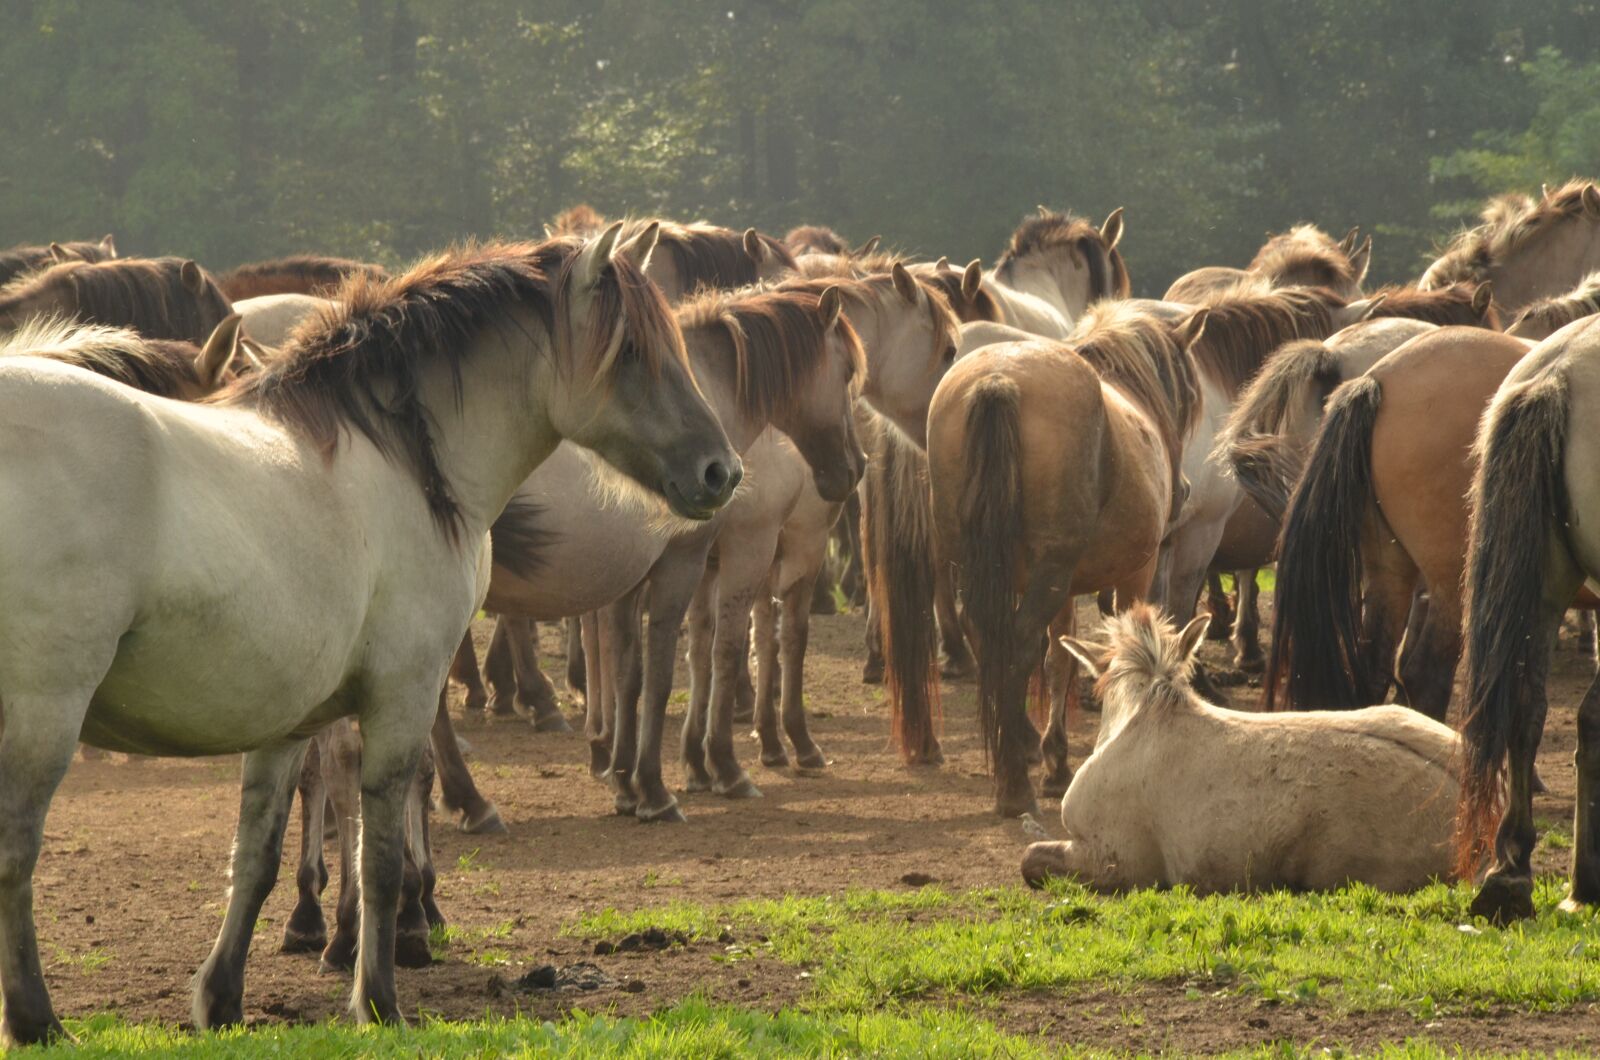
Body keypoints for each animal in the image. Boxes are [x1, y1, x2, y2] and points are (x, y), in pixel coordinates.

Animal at [926, 300, 1205, 816]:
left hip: (977, 565)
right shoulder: (1134, 574)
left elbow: (1059, 658)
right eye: (1190, 398)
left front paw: (1052, 756)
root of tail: (1000, 380)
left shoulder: (1061, 586)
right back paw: (1014, 787)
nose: (1184, 492)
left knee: (989, 638)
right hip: (1054, 573)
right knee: (1017, 647)